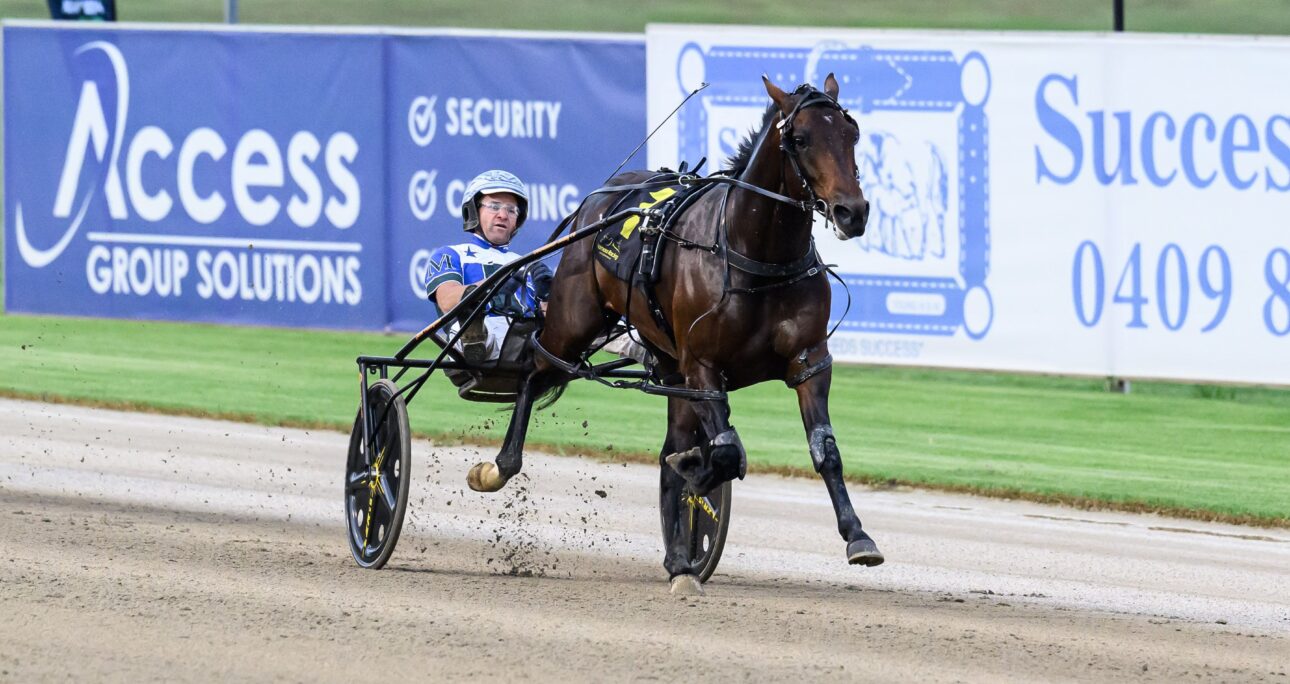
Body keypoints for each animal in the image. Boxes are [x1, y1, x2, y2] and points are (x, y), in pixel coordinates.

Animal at [459, 74, 882, 585]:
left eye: (851, 134)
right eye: (800, 139)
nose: (851, 211)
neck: (754, 254)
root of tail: (600, 198)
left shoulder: (808, 360)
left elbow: (824, 450)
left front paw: (858, 536)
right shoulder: (703, 366)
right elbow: (727, 453)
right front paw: (699, 470)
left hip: (667, 363)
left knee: (670, 443)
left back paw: (681, 558)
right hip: (575, 322)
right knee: (536, 370)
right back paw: (498, 467)